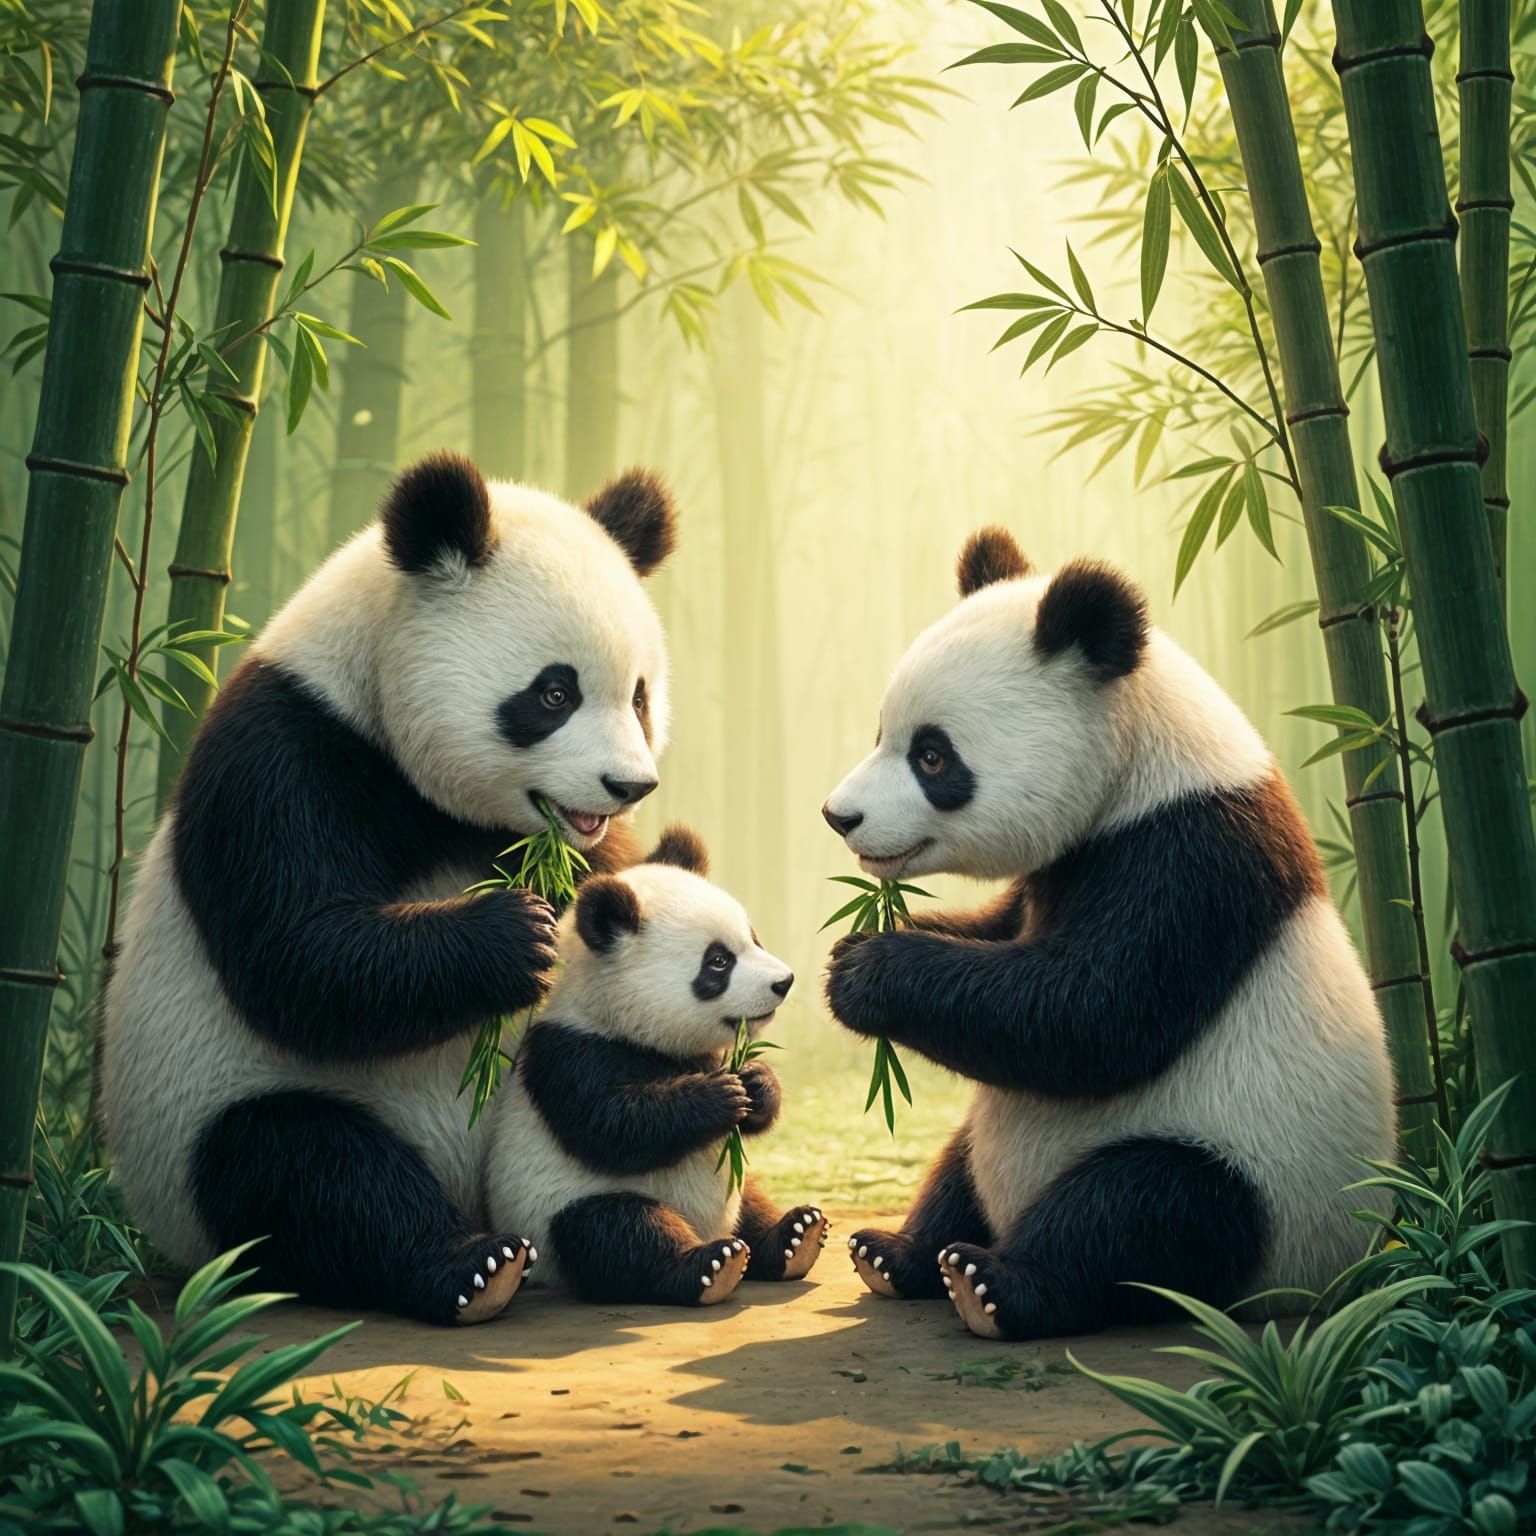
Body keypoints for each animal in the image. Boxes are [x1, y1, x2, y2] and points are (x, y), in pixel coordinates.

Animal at [100, 451, 678, 1327]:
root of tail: (477, 1200)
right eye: (554, 693)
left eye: (640, 695)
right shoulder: (291, 747)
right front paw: (514, 937)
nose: (628, 785)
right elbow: (302, 957)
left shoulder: (582, 847)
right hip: (206, 1123)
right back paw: (470, 1268)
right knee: (303, 1169)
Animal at [484, 825, 829, 1306]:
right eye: (718, 961)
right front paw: (720, 1096)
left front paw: (757, 1083)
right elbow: (614, 1125)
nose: (784, 982)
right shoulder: (568, 1053)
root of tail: (705, 1229)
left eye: (753, 937)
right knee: (617, 1232)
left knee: (753, 1201)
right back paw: (709, 1265)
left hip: (734, 1186)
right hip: (559, 1210)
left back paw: (795, 1236)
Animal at [819, 526, 1396, 1341]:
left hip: (1260, 1187)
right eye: (882, 734)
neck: (1140, 760)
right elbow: (1004, 938)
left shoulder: (1191, 858)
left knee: (1148, 1207)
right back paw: (898, 1254)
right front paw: (853, 942)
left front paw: (869, 968)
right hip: (1000, 1135)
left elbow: (1094, 1016)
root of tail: (1324, 1283)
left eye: (932, 757)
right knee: (961, 1163)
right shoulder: (1069, 863)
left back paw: (994, 1283)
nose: (840, 817)